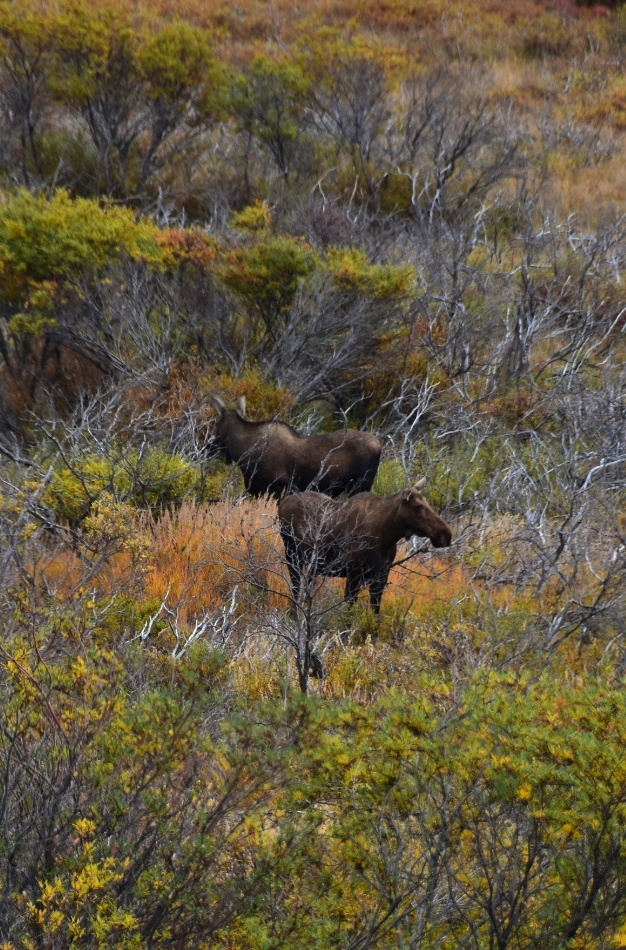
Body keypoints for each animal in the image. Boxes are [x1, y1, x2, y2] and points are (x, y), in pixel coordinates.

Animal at [208, 394, 380, 502]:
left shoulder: (277, 488)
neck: (243, 452)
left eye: (216, 422)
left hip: (359, 485)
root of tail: (379, 445)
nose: (208, 445)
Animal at [276, 484, 448, 616]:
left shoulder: (381, 576)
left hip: (313, 565)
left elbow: (375, 613)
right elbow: (349, 611)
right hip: (292, 556)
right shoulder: (354, 574)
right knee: (295, 588)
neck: (386, 537)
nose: (446, 533)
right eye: (417, 507)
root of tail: (281, 504)